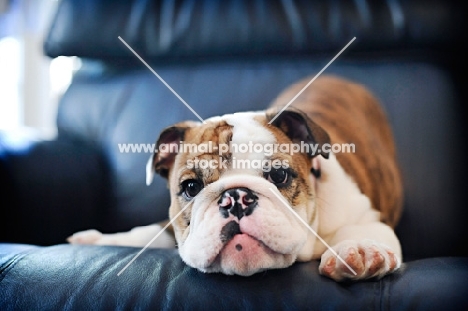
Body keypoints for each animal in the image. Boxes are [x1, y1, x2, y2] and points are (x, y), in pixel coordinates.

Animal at [68, 76, 402, 282]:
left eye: (279, 175)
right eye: (191, 187)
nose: (236, 197)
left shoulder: (367, 217)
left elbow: (358, 230)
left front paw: (361, 249)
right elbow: (150, 231)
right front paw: (100, 239)